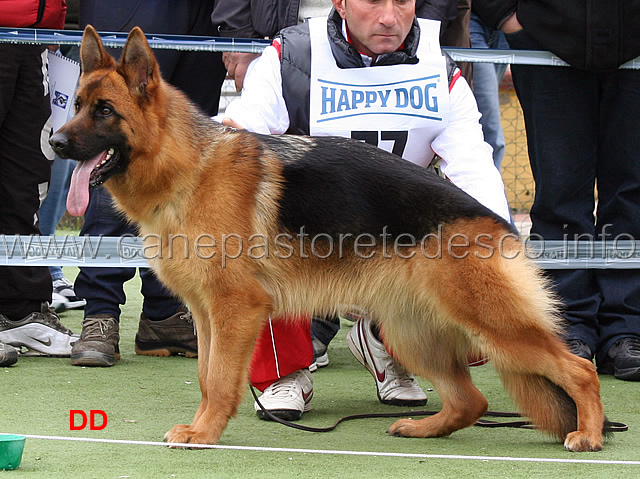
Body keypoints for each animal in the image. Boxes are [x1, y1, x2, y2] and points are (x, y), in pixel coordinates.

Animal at [51, 27, 604, 454]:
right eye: (76, 105)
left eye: (104, 111)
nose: (54, 143)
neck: (187, 167)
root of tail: (498, 223)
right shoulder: (208, 314)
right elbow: (209, 376)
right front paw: (203, 426)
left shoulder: (235, 310)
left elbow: (221, 379)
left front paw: (205, 434)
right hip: (414, 333)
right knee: (473, 401)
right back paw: (425, 429)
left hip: (491, 324)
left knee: (579, 369)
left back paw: (590, 434)